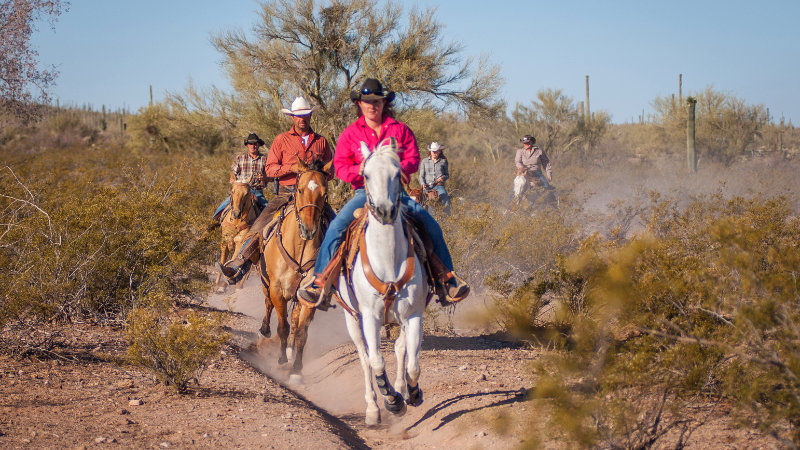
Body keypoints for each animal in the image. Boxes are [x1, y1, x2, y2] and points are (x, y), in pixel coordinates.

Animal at [256, 158, 332, 384]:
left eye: (324, 192)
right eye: (299, 189)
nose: (309, 229)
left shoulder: (308, 296)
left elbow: (300, 333)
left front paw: (296, 370)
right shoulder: (277, 290)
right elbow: (283, 327)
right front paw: (281, 360)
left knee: (296, 321)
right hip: (266, 284)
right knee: (268, 305)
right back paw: (264, 332)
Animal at [336, 137, 428, 426]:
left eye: (397, 174)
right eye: (365, 174)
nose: (385, 210)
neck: (388, 259)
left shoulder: (413, 315)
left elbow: (412, 364)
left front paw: (411, 393)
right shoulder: (370, 317)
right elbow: (376, 362)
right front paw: (391, 401)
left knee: (400, 350)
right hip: (351, 319)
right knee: (365, 359)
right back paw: (374, 409)